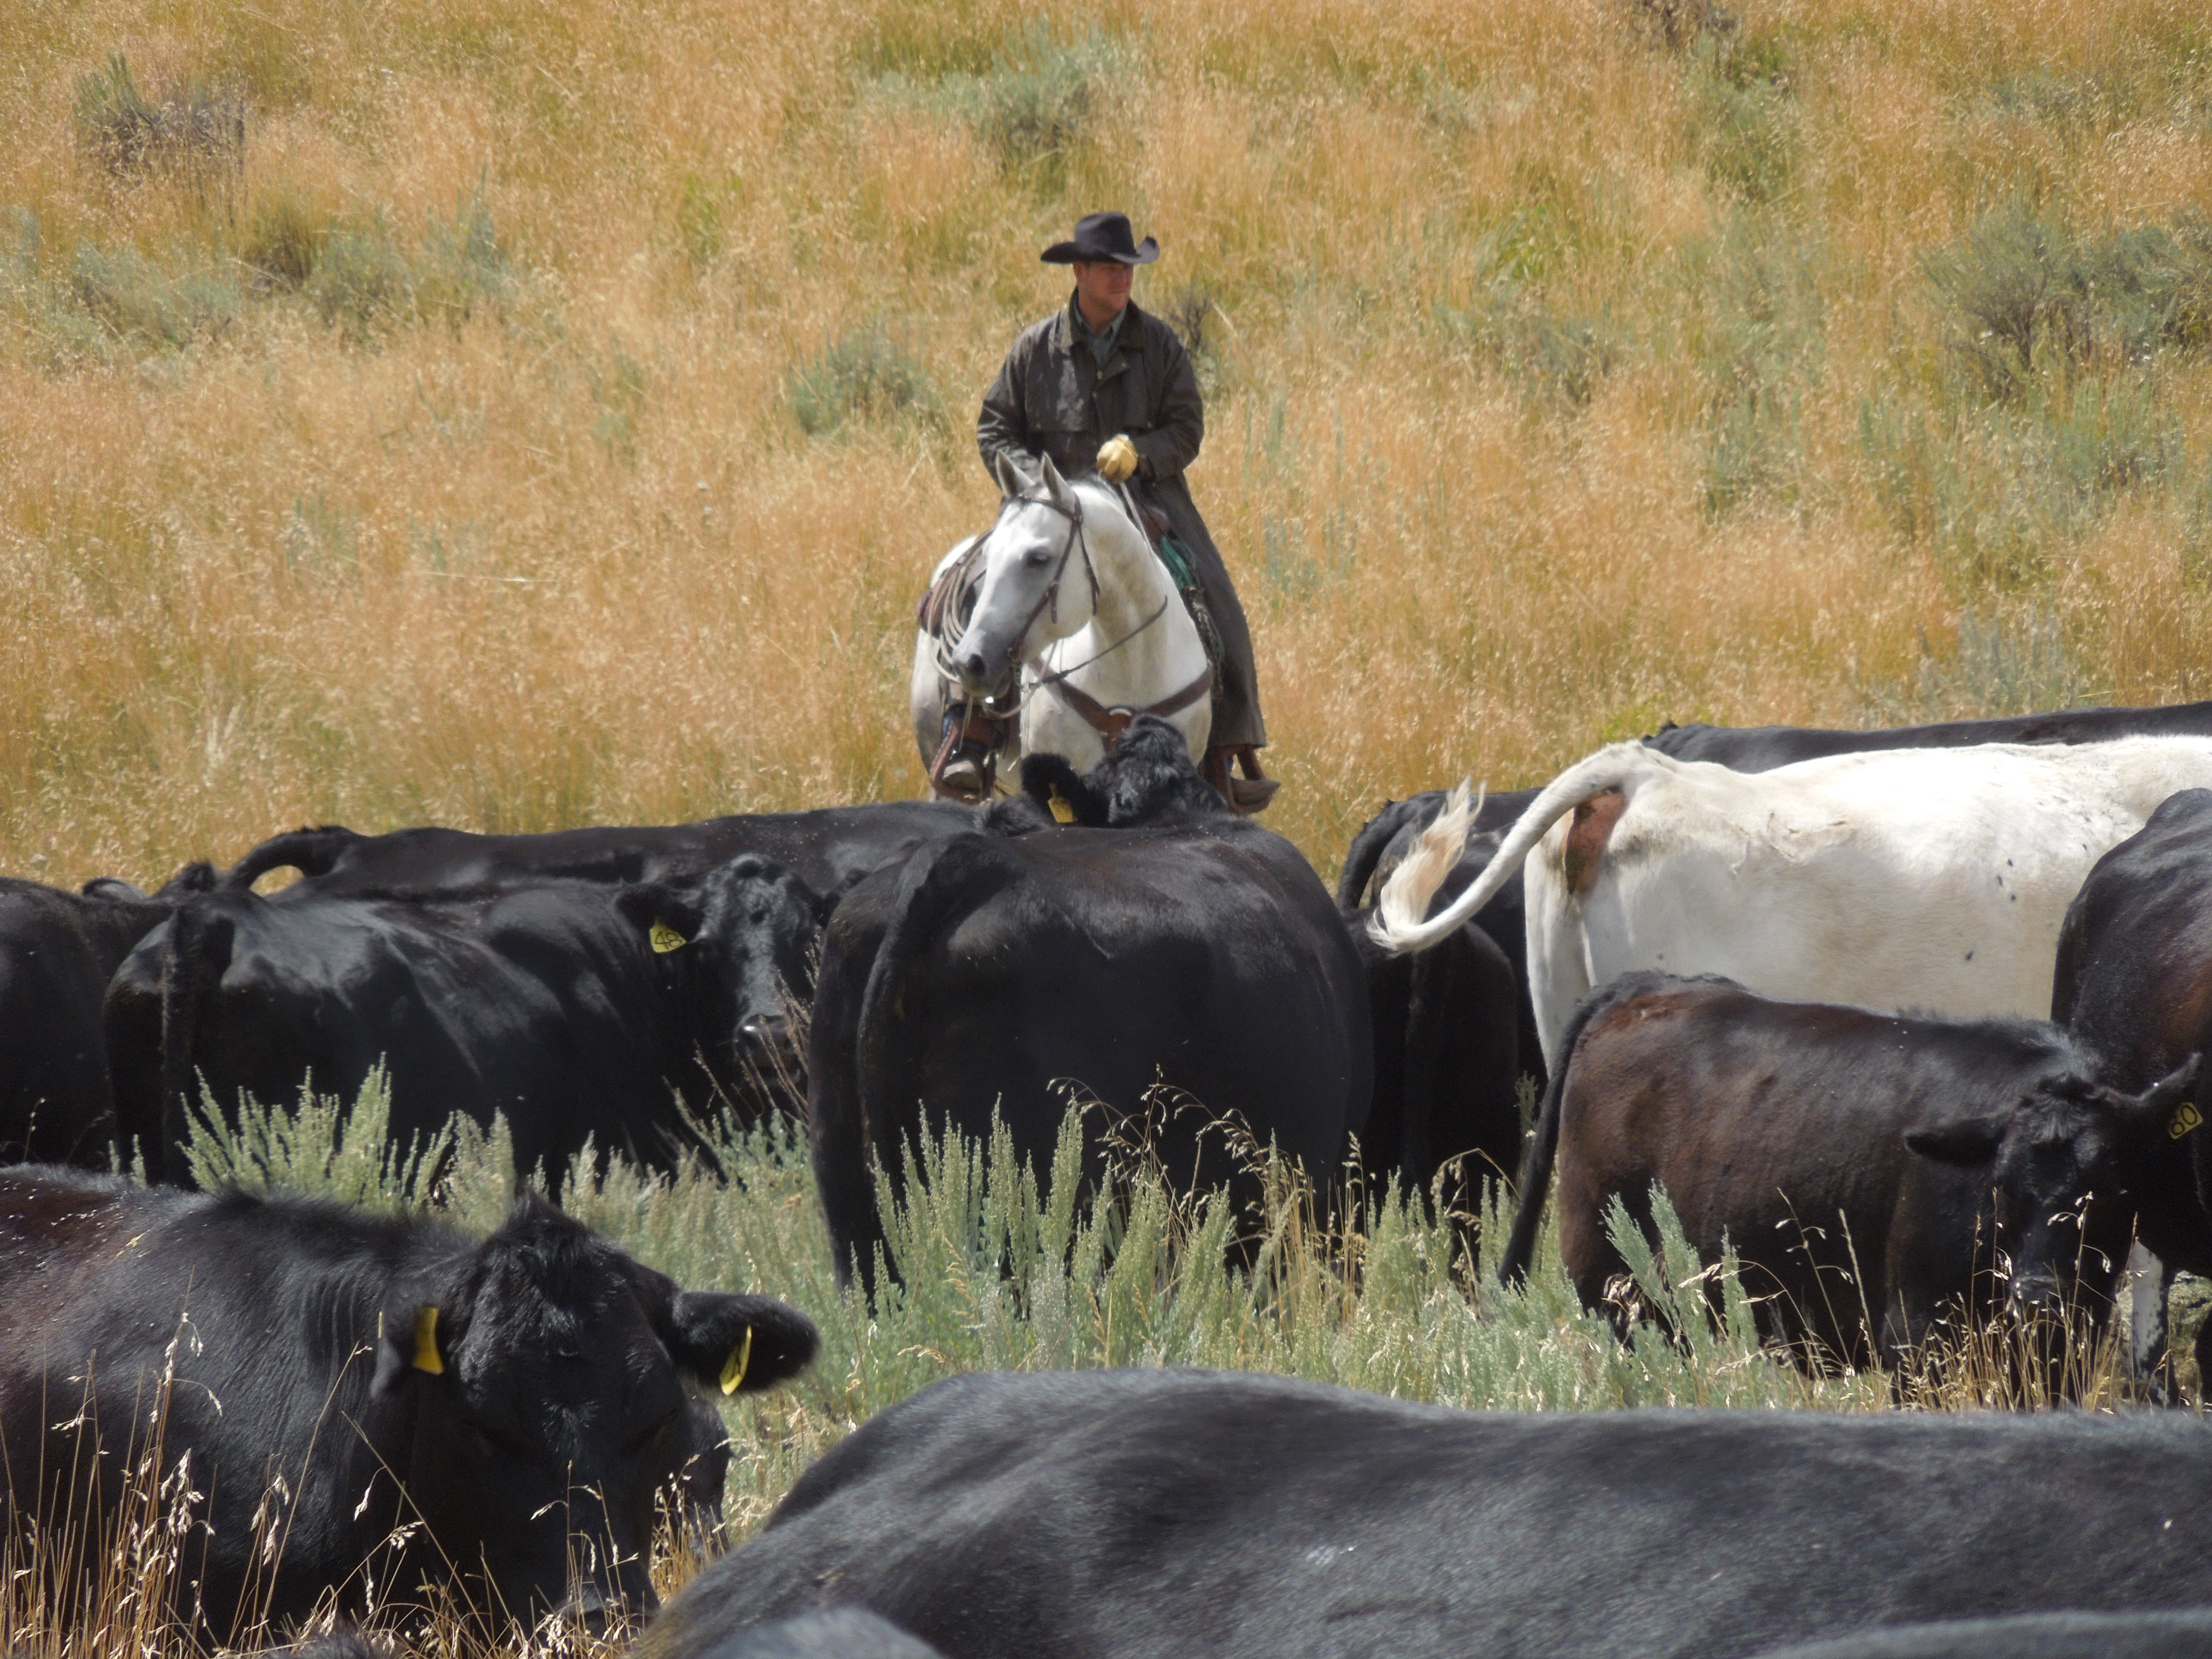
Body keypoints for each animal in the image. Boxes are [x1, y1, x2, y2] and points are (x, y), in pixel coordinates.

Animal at [1495, 972, 2198, 1371]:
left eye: (2110, 1191)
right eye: (2000, 1189)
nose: (2036, 1296)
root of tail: (1647, 989)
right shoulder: (1915, 1337)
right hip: (1616, 1288)